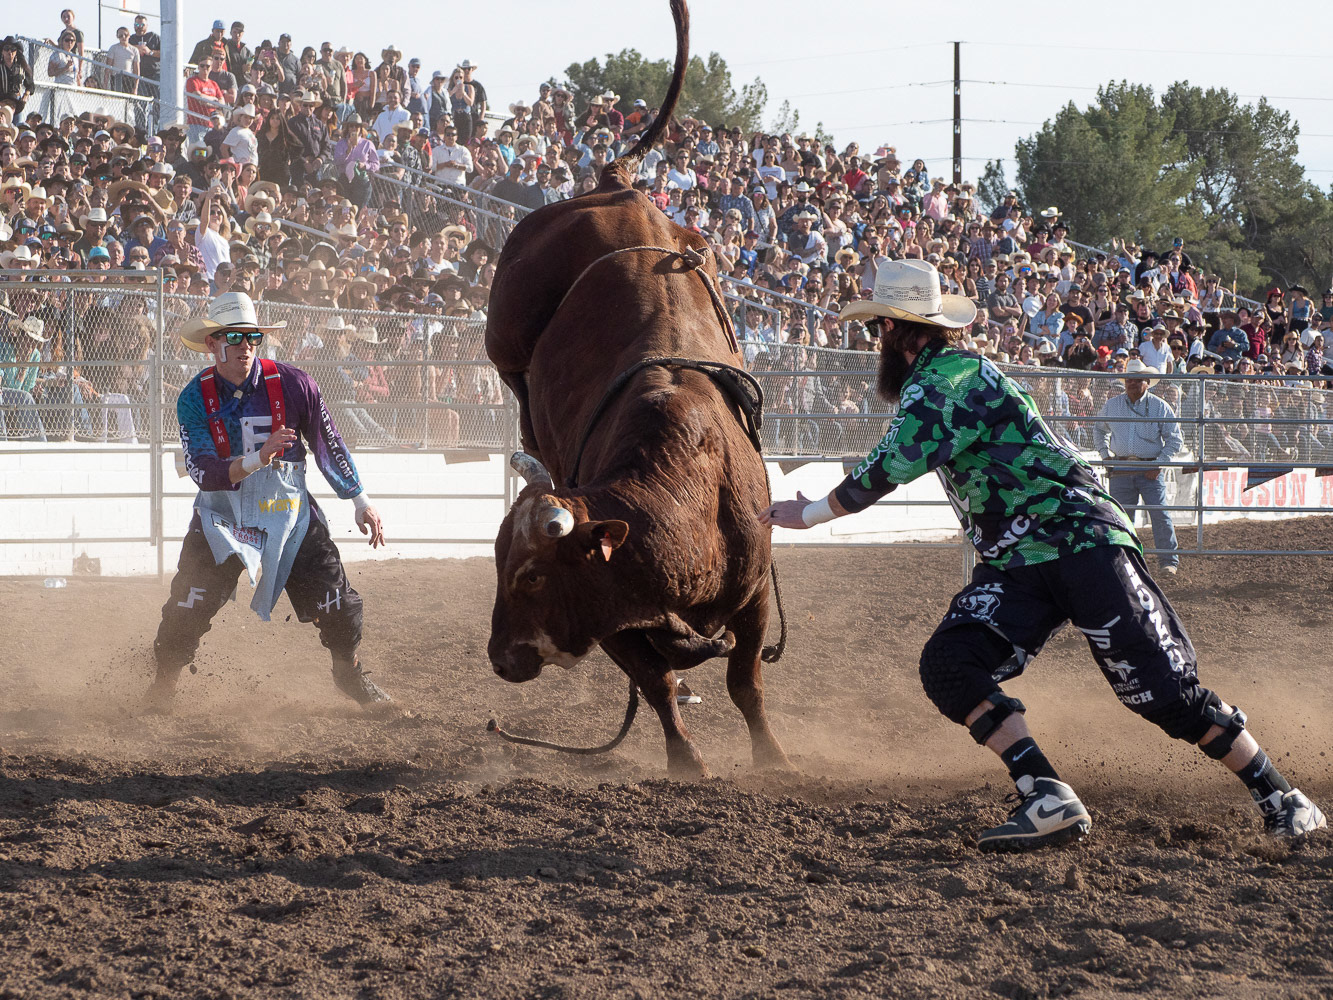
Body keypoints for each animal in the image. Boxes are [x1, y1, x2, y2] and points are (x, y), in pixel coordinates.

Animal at [483, 0, 790, 778]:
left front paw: (772, 756)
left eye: (532, 577)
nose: (499, 659)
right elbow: (655, 684)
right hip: (504, 332)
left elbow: (746, 682)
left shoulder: (752, 598)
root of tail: (616, 183)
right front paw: (686, 763)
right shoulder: (612, 614)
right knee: (514, 376)